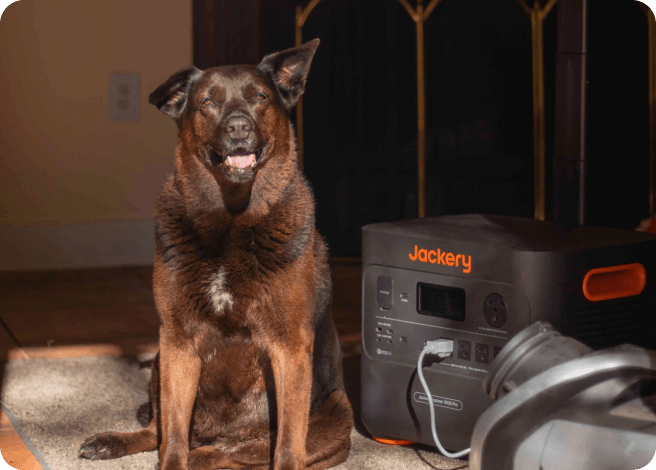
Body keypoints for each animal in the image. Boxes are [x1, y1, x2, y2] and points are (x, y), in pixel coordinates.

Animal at [79, 39, 353, 470]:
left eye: (260, 98)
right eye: (208, 102)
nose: (238, 127)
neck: (231, 222)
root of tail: (217, 432)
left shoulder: (289, 347)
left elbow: (286, 445)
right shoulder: (177, 341)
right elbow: (171, 438)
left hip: (334, 413)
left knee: (231, 453)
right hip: (159, 361)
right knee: (161, 432)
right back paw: (112, 441)